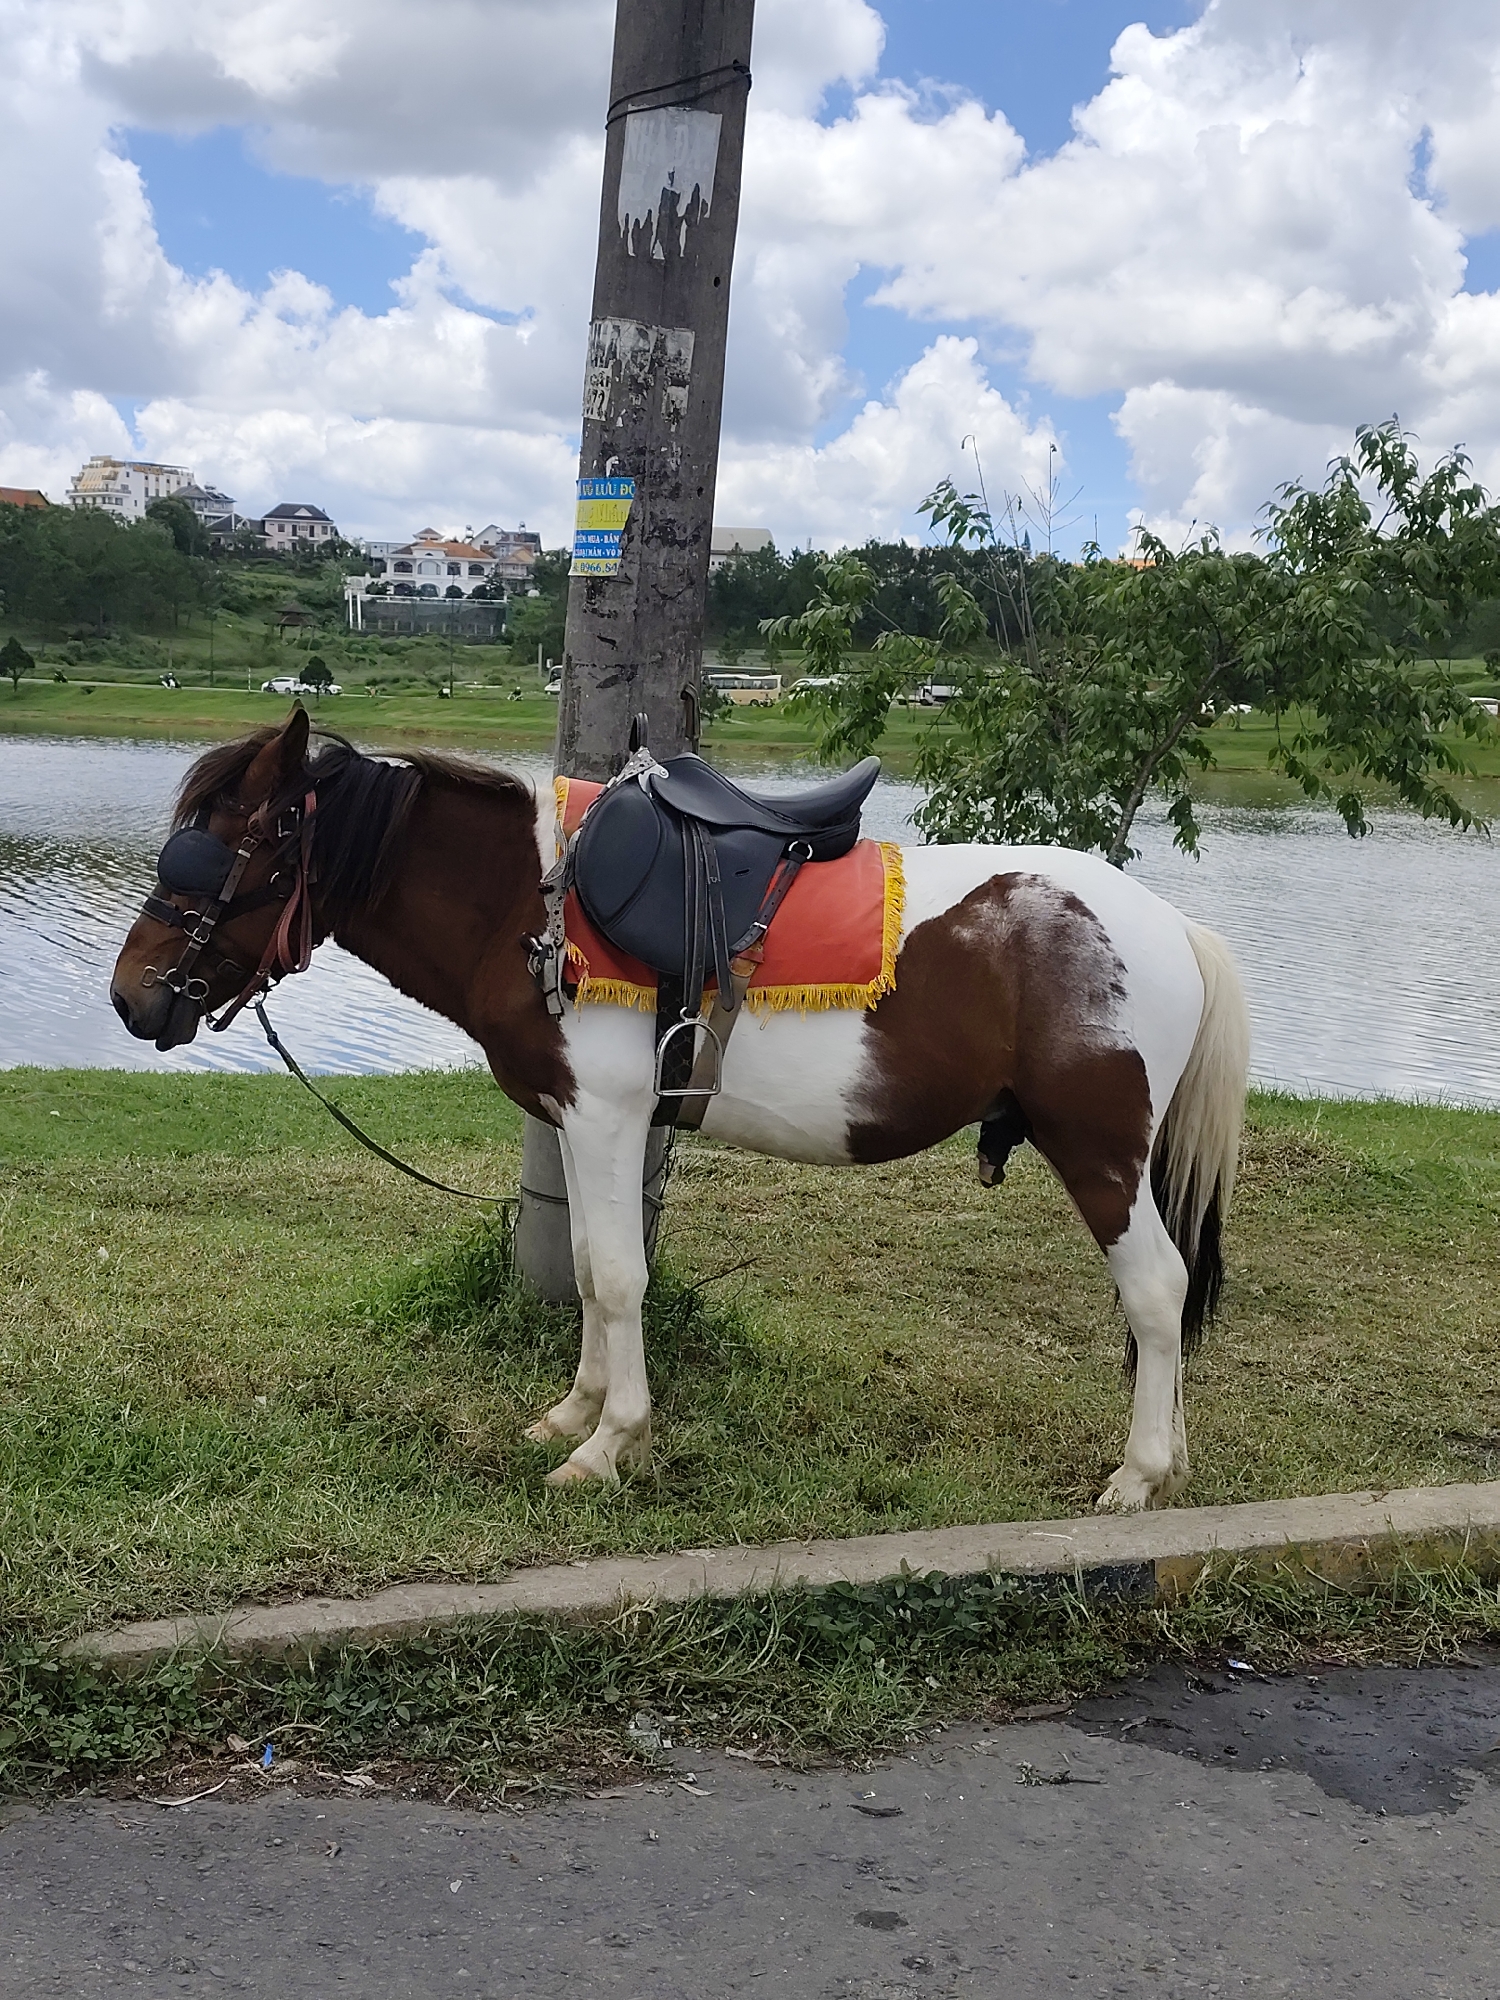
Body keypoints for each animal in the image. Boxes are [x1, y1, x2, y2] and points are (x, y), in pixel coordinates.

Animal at [109, 708, 1251, 1512]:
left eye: (225, 847)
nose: (130, 997)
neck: (533, 903)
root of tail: (1171, 926)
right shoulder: (576, 1120)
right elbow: (583, 1268)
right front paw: (574, 1409)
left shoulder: (609, 1116)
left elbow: (620, 1278)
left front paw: (611, 1442)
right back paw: (1176, 1457)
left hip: (1097, 1152)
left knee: (1156, 1294)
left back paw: (1140, 1472)